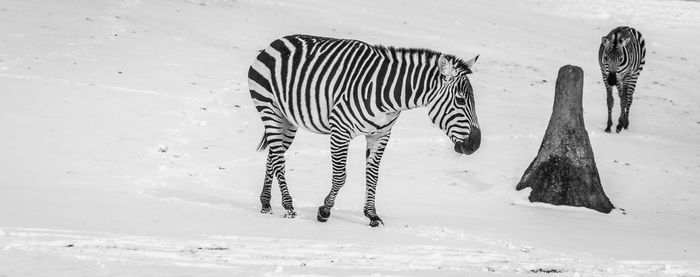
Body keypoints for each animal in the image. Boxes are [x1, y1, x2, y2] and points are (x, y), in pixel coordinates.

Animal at [247, 33, 482, 225]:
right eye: (460, 100)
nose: (476, 144)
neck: (388, 93)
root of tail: (276, 42)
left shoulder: (380, 135)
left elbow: (373, 176)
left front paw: (372, 215)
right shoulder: (340, 131)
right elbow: (340, 177)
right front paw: (324, 211)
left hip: (288, 120)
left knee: (273, 156)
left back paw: (266, 204)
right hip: (269, 108)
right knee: (279, 160)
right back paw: (289, 207)